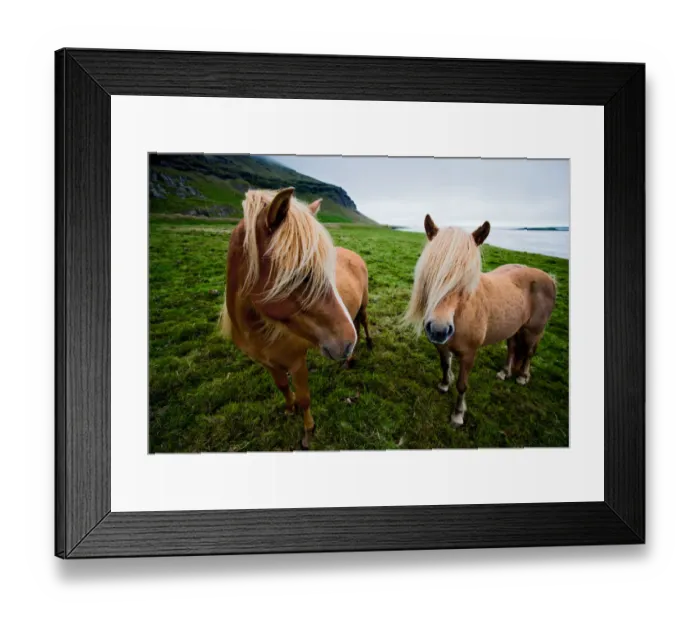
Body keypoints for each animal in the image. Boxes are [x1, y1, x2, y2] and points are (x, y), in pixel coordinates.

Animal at [220, 187, 372, 449]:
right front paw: (289, 409)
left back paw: (365, 345)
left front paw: (308, 430)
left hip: (362, 307)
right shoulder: (268, 363)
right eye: (301, 274)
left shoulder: (297, 362)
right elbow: (282, 386)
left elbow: (304, 399)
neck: (258, 331)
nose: (346, 342)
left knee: (362, 322)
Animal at [405, 214, 556, 428]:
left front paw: (458, 414)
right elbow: (445, 366)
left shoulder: (469, 354)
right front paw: (444, 384)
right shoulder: (441, 346)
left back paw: (522, 376)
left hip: (533, 331)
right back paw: (505, 372)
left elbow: (462, 385)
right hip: (514, 329)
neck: (460, 314)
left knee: (528, 353)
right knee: (512, 348)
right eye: (430, 272)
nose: (438, 330)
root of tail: (549, 278)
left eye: (466, 278)